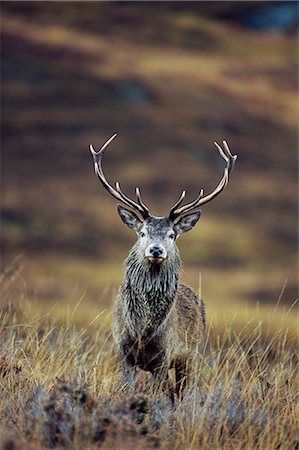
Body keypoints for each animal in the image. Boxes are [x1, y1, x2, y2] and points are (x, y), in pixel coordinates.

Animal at [89, 135, 237, 402]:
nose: (156, 250)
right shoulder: (123, 352)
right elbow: (129, 388)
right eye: (142, 232)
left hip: (192, 355)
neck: (143, 331)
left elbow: (164, 394)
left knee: (180, 390)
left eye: (171, 234)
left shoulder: (164, 356)